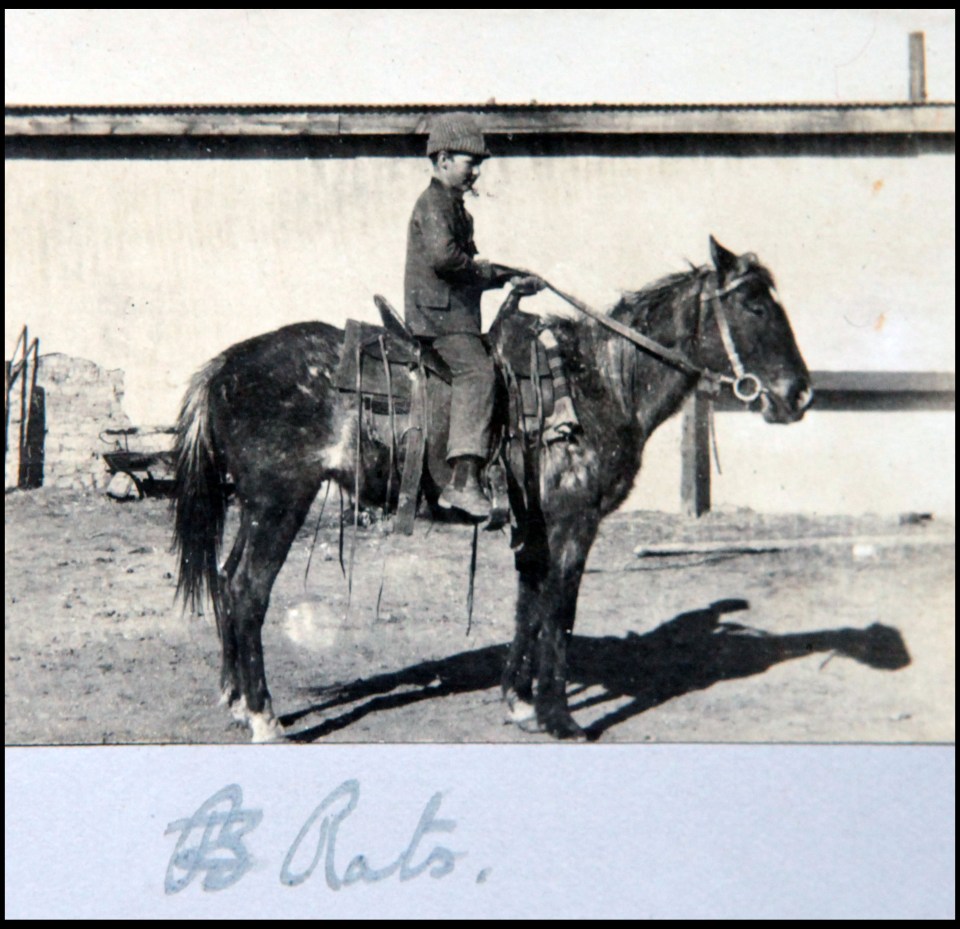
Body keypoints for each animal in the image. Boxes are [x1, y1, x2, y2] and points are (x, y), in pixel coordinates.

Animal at [171, 237, 808, 740]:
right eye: (754, 304)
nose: (799, 395)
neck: (600, 383)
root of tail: (223, 368)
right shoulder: (575, 521)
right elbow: (560, 609)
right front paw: (560, 718)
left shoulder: (537, 526)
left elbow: (530, 605)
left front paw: (520, 704)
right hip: (280, 502)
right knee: (248, 591)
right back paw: (263, 717)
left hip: (255, 506)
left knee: (225, 581)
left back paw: (235, 702)